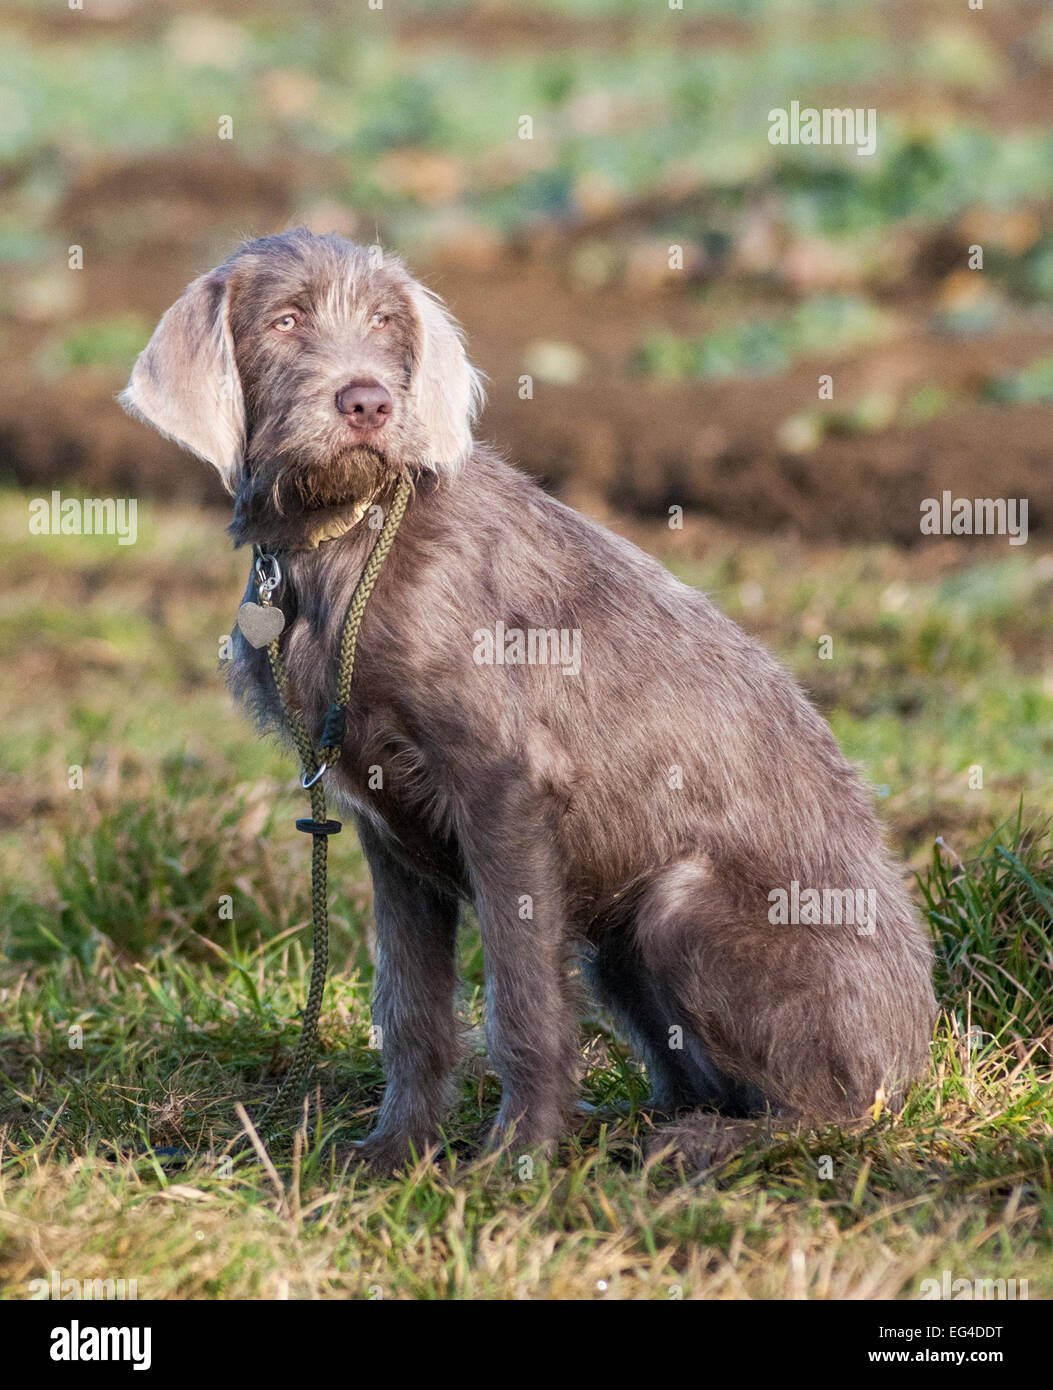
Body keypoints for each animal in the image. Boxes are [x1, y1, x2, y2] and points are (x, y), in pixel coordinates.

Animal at [123, 230, 939, 1173]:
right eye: (285, 321)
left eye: (385, 322)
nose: (367, 401)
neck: (346, 537)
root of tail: (915, 1050)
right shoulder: (383, 830)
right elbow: (410, 1005)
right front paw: (396, 1152)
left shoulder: (505, 788)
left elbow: (520, 999)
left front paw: (513, 1159)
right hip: (616, 945)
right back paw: (637, 1123)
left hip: (676, 903)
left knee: (834, 1108)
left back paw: (702, 1143)